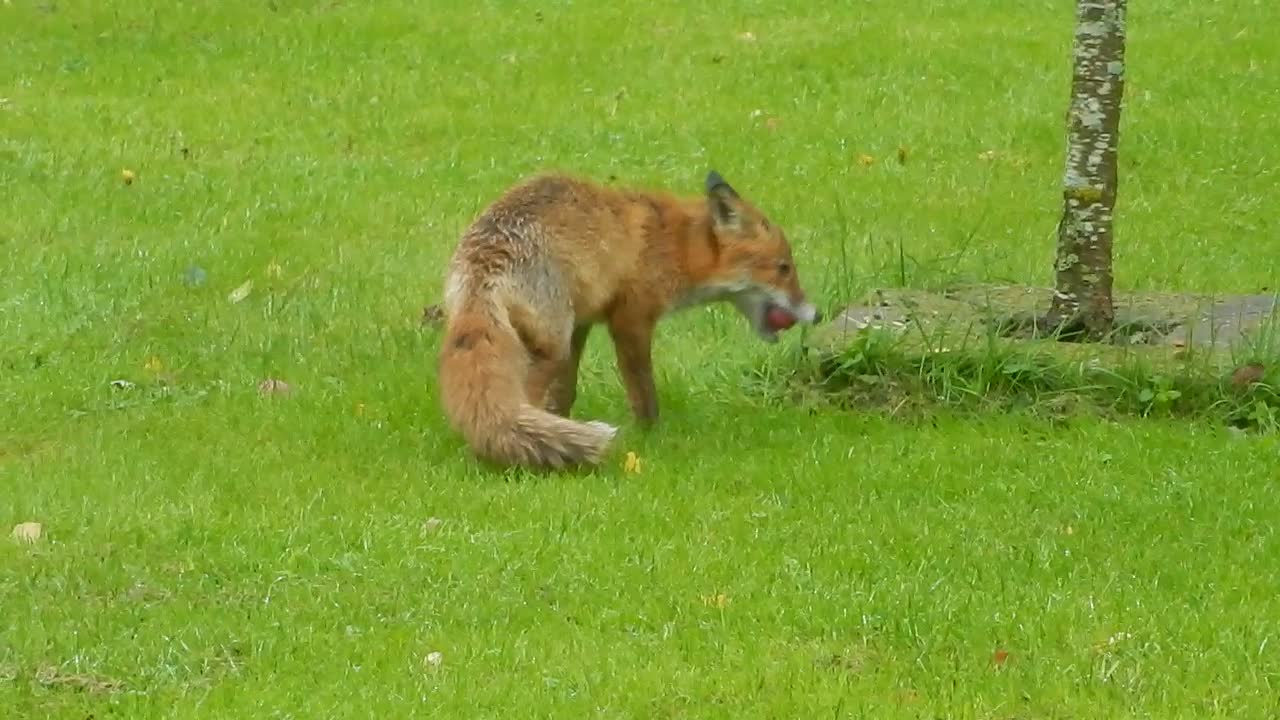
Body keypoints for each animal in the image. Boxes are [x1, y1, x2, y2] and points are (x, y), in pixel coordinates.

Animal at [437, 170, 819, 468]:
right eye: (784, 269)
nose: (817, 314)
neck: (674, 243)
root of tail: (483, 264)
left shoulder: (582, 321)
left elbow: (565, 391)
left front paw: (562, 419)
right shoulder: (631, 320)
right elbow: (644, 393)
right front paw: (652, 435)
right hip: (551, 346)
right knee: (522, 401)